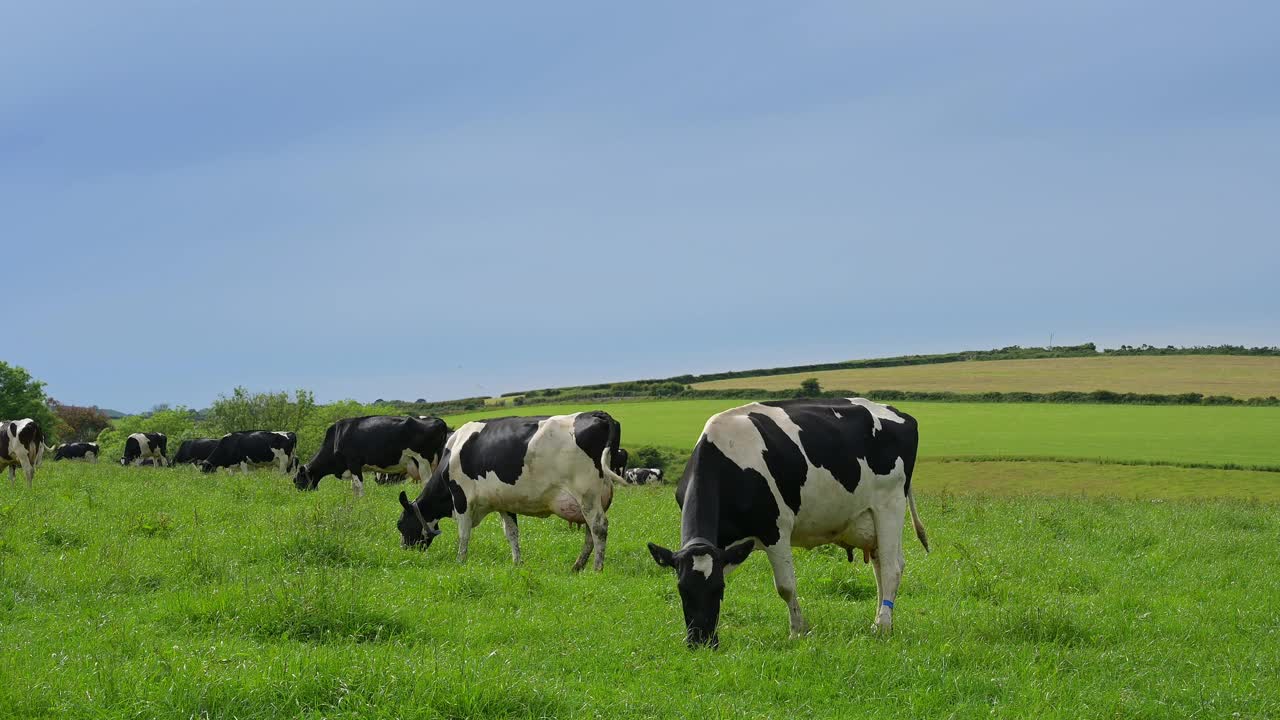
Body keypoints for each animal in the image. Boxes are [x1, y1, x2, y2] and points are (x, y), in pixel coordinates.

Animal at [294, 415, 450, 491]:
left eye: (296, 480)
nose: (301, 495)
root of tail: (439, 421)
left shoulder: (354, 463)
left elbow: (359, 487)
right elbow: (354, 487)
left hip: (423, 461)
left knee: (427, 482)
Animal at [396, 409, 622, 571]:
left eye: (400, 525)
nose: (404, 551)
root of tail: (596, 413)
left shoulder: (461, 498)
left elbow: (463, 533)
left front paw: (460, 561)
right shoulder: (503, 503)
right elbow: (512, 533)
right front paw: (517, 563)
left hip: (586, 493)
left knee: (598, 527)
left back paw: (597, 568)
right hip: (594, 498)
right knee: (590, 532)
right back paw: (577, 566)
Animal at [650, 397, 931, 645]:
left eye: (718, 589)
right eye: (682, 589)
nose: (700, 642)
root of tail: (898, 412)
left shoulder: (776, 530)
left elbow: (785, 587)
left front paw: (798, 631)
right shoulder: (725, 547)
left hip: (890, 504)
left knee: (892, 568)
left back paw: (882, 626)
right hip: (868, 518)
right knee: (881, 565)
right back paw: (883, 621)